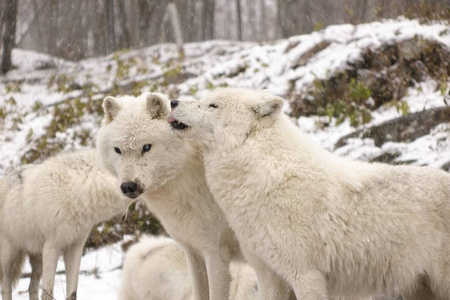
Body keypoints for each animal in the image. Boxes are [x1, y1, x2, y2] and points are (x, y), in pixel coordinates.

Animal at [0, 150, 131, 300]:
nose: (124, 217)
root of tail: (5, 176)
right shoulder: (52, 247)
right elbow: (48, 292)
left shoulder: (75, 247)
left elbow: (72, 292)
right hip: (9, 257)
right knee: (5, 288)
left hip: (37, 258)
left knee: (31, 287)